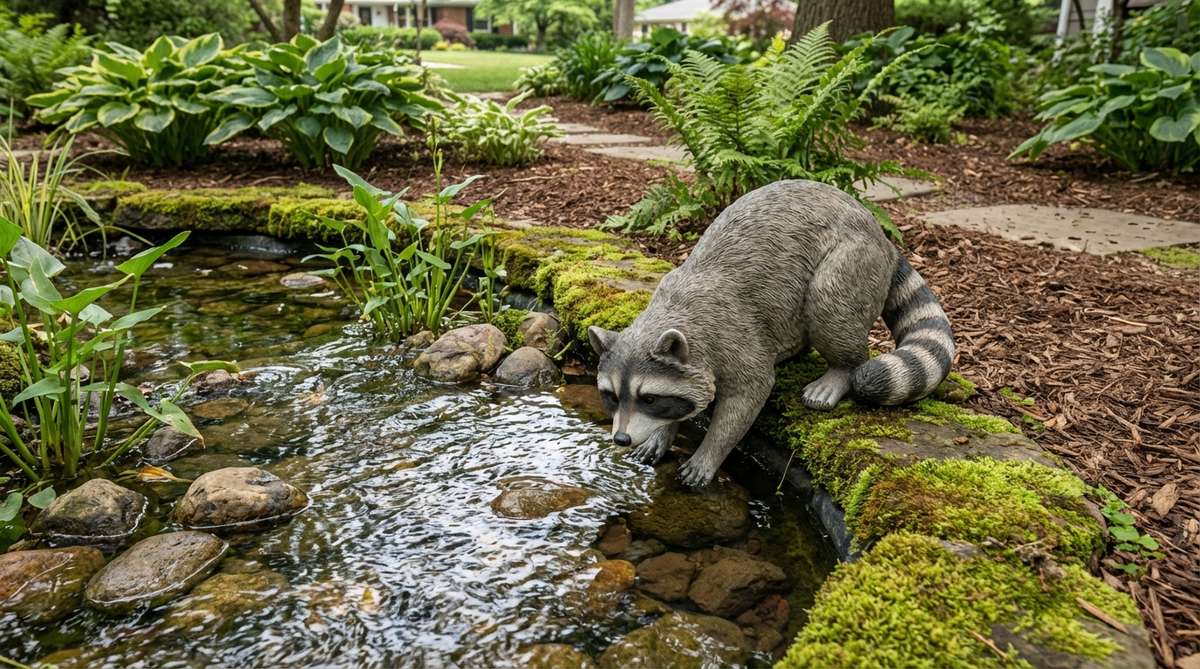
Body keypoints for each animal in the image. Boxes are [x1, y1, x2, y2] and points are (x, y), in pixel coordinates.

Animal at [589, 179, 954, 487]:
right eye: (611, 397)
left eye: (649, 398)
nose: (620, 439)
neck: (671, 313)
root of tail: (881, 234)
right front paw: (663, 434)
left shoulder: (731, 331)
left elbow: (748, 394)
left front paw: (709, 452)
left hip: (853, 261)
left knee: (829, 305)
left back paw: (841, 369)